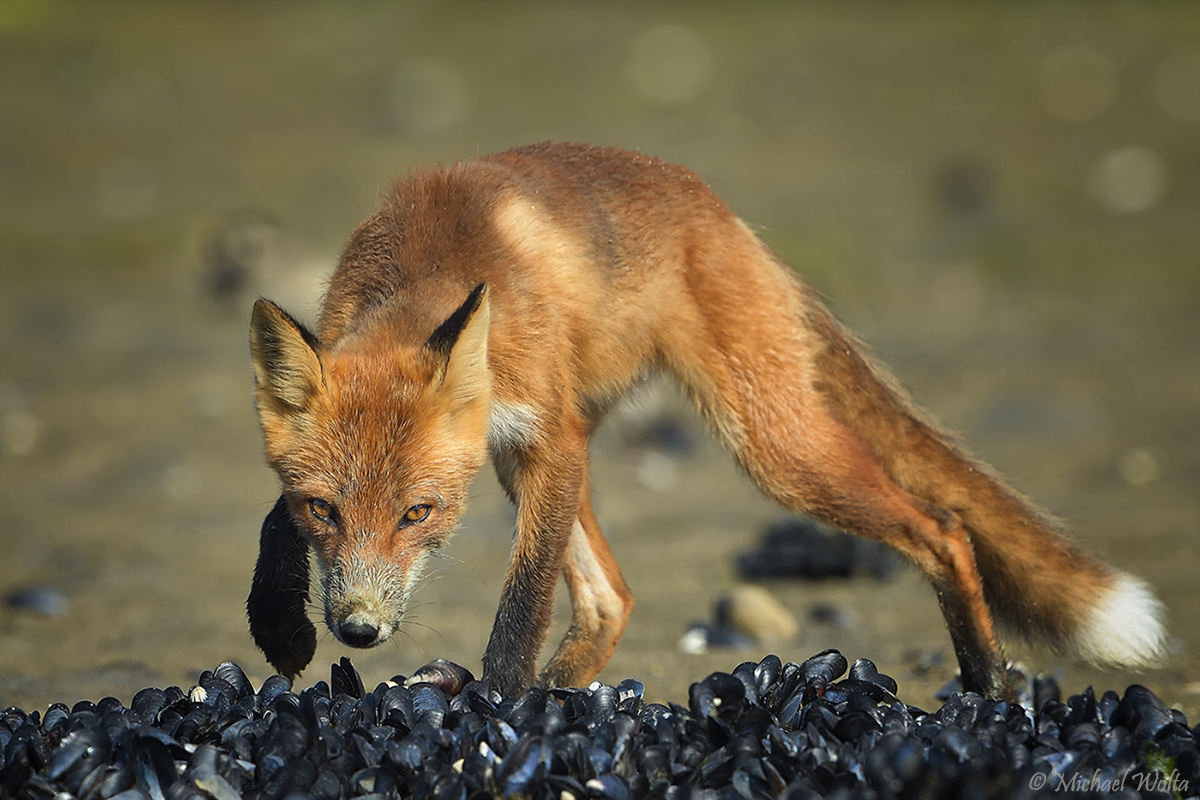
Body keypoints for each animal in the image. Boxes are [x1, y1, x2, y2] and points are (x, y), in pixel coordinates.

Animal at [248, 140, 1166, 695]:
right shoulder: (512, 445)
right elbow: (270, 522)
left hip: (774, 448)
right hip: (542, 458)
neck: (436, 262)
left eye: (419, 514)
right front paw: (281, 629)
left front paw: (497, 708)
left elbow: (521, 606)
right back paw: (565, 691)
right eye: (325, 511)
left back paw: (987, 681)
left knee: (944, 528)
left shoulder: (550, 437)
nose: (359, 631)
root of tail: (728, 219)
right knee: (613, 599)